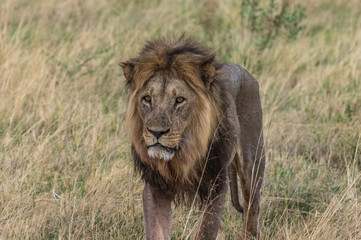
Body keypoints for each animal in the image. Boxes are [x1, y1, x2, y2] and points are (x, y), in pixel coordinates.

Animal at [121, 34, 264, 239]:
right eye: (147, 99)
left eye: (179, 100)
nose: (156, 132)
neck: (184, 153)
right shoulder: (155, 187)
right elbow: (157, 230)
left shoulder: (216, 184)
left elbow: (205, 229)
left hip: (252, 161)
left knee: (252, 208)